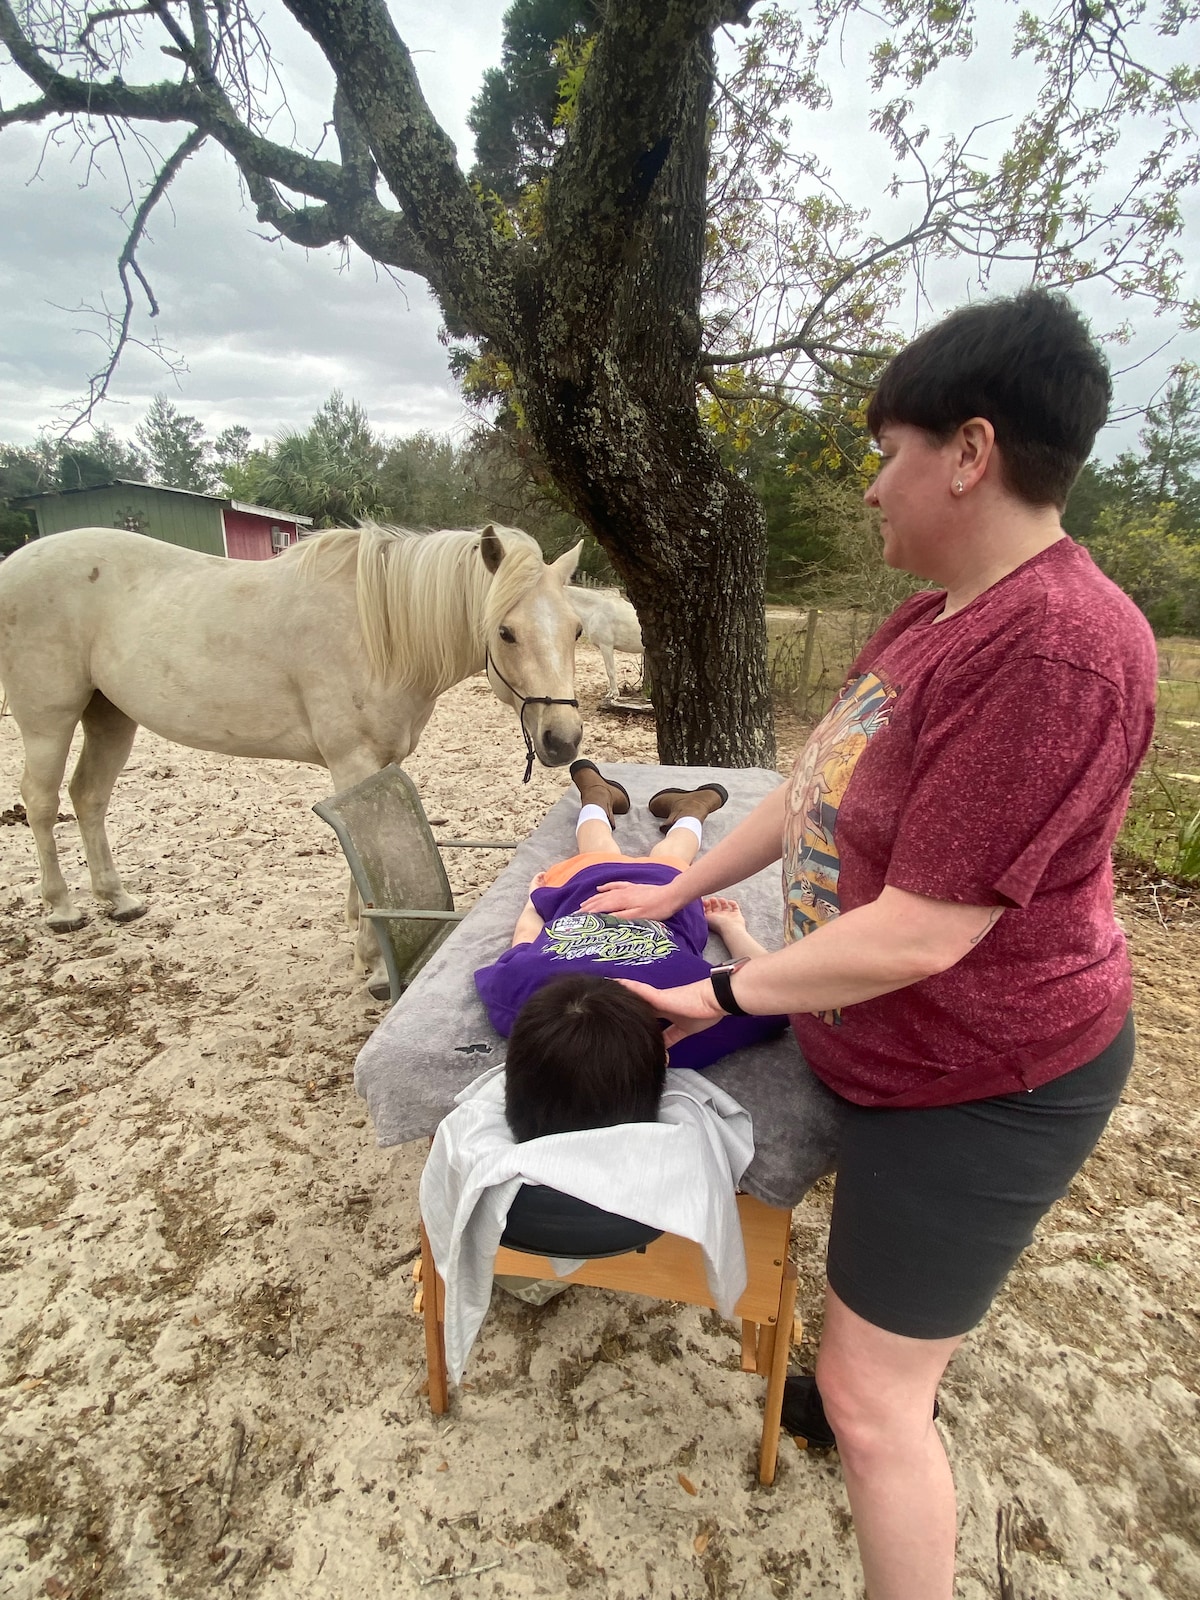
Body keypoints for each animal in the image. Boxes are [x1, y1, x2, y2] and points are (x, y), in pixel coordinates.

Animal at [0, 522, 584, 989]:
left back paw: (117, 900)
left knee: (89, 797)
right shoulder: (353, 761)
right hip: (49, 720)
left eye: (577, 628)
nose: (564, 739)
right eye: (505, 632)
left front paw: (360, 928)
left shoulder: (381, 764)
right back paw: (62, 909)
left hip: (110, 717)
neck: (379, 631)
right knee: (42, 801)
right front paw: (373, 962)